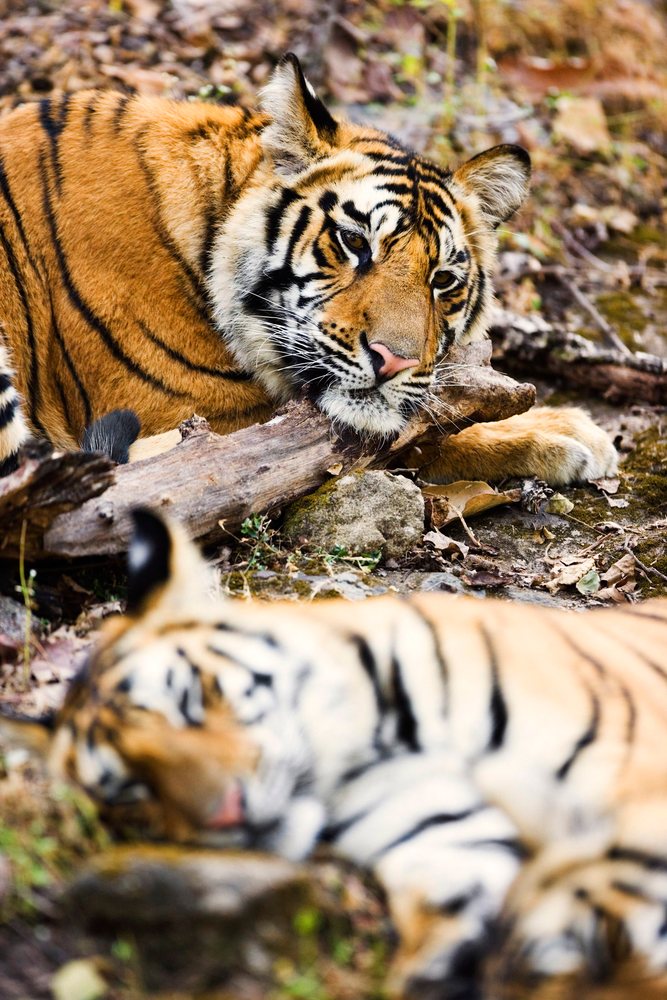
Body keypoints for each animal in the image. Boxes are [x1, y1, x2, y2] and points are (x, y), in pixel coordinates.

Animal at [0, 53, 616, 485]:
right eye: (353, 241)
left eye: (442, 280)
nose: (394, 361)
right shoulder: (194, 416)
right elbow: (424, 435)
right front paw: (568, 433)